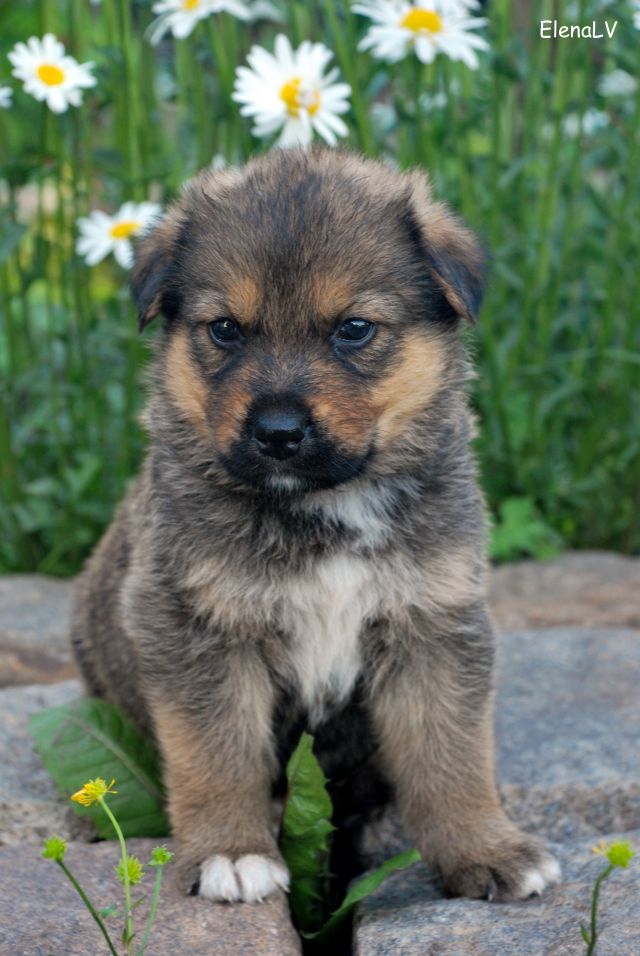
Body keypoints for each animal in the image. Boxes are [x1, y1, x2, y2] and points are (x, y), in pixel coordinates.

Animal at [71, 148, 560, 905]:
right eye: (226, 329)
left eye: (353, 329)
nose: (277, 432)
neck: (325, 508)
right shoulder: (197, 630)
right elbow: (217, 755)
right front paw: (231, 852)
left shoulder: (434, 623)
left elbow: (451, 754)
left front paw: (486, 848)